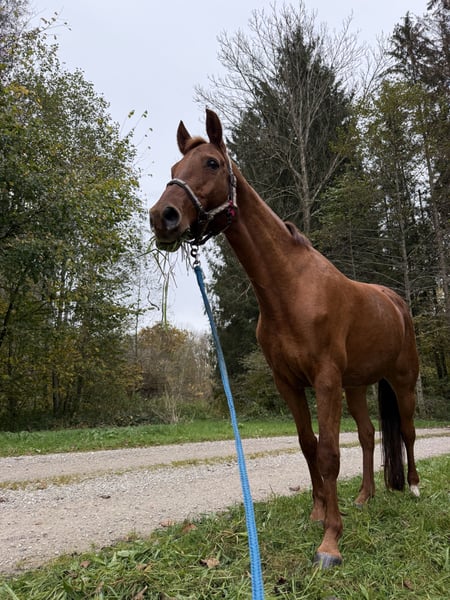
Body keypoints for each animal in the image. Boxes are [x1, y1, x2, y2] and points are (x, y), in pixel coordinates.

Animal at [149, 109, 420, 568]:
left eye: (212, 164)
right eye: (173, 169)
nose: (162, 216)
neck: (291, 288)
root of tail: (398, 303)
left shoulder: (325, 380)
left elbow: (329, 453)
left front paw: (331, 542)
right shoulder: (289, 383)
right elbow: (308, 445)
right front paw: (318, 514)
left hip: (401, 381)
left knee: (406, 430)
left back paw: (415, 488)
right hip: (357, 386)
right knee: (369, 435)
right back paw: (364, 497)